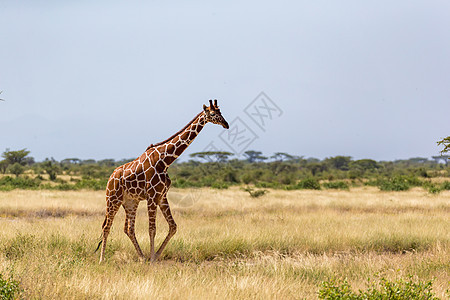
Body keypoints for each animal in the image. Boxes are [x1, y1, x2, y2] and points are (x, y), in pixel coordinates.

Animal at [97, 99, 229, 262]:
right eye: (212, 114)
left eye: (220, 112)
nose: (226, 124)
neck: (165, 160)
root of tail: (110, 177)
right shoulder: (152, 196)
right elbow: (152, 229)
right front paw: (153, 258)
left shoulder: (162, 196)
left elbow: (173, 226)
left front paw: (155, 256)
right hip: (112, 199)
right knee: (106, 226)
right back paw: (102, 259)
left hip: (130, 202)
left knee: (128, 228)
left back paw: (142, 257)